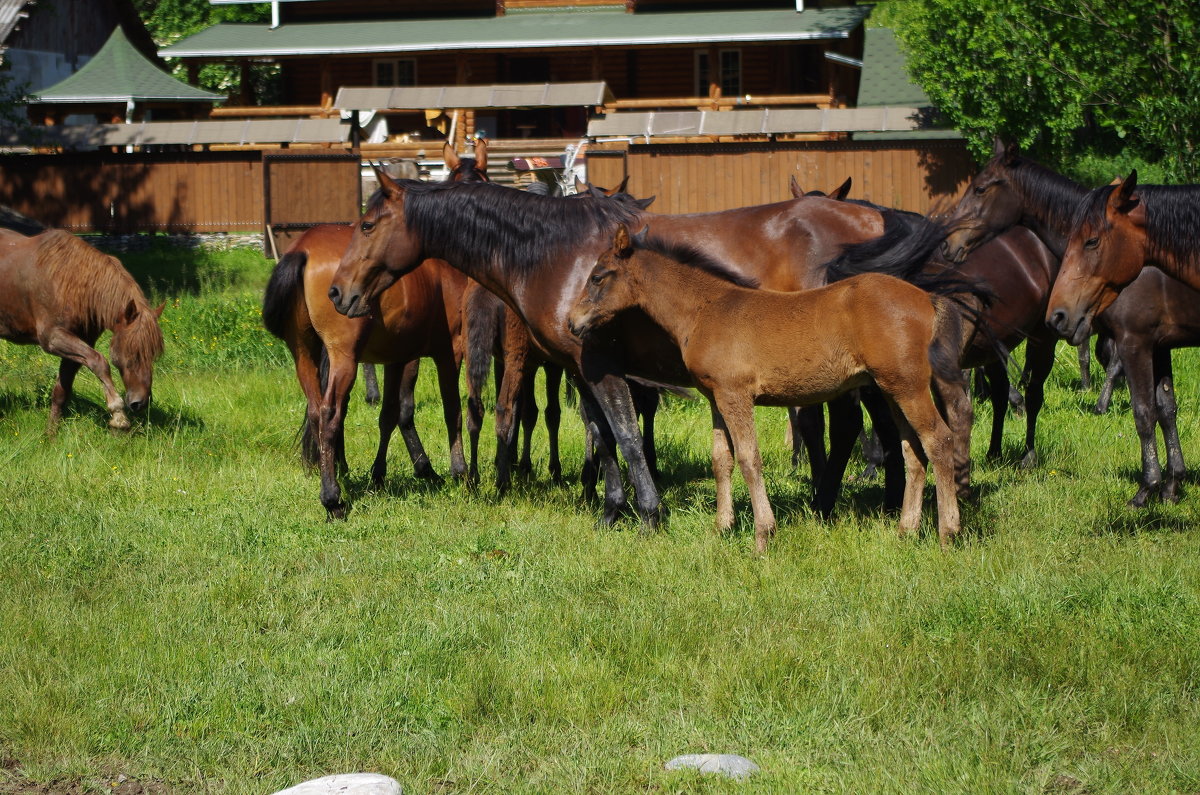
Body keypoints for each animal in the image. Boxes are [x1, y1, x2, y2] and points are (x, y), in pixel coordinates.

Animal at [326, 170, 926, 528]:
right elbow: (603, 435)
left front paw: (649, 511)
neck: (554, 253)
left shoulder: (601, 365)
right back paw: (884, 502)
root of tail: (876, 216)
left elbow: (627, 435)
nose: (337, 292)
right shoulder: (580, 367)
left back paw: (833, 504)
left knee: (855, 428)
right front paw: (612, 509)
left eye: (368, 223)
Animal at [564, 225, 964, 554]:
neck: (705, 309)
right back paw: (906, 531)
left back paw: (948, 534)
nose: (571, 322)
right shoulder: (716, 398)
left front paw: (762, 536)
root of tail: (928, 300)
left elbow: (748, 458)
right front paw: (721, 528)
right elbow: (721, 459)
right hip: (892, 388)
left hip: (908, 385)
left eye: (597, 277)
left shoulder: (736, 395)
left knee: (939, 441)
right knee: (913, 449)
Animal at [940, 143, 1200, 504]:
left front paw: (1147, 488)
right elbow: (1166, 409)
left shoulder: (1134, 341)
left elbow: (1144, 411)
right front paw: (1173, 485)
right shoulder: (1158, 345)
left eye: (980, 188)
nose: (948, 244)